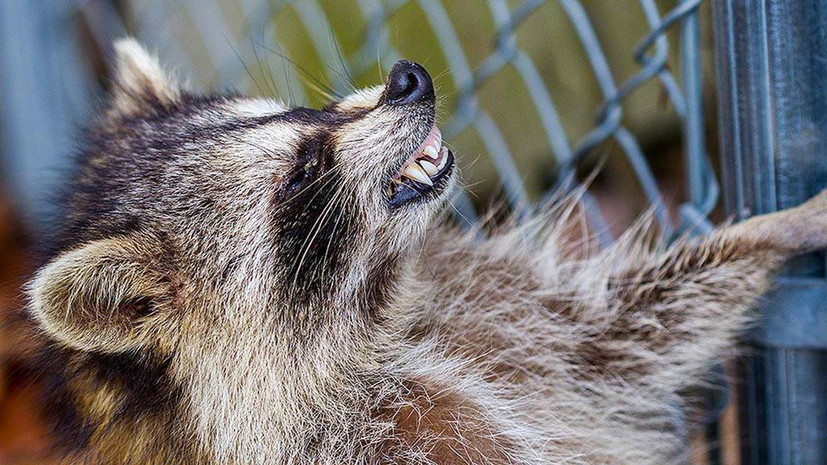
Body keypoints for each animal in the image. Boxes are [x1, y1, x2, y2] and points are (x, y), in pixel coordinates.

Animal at [24, 40, 827, 464]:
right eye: (300, 173)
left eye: (299, 111)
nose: (406, 79)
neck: (379, 326)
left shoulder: (499, 312)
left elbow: (618, 335)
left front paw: (774, 229)